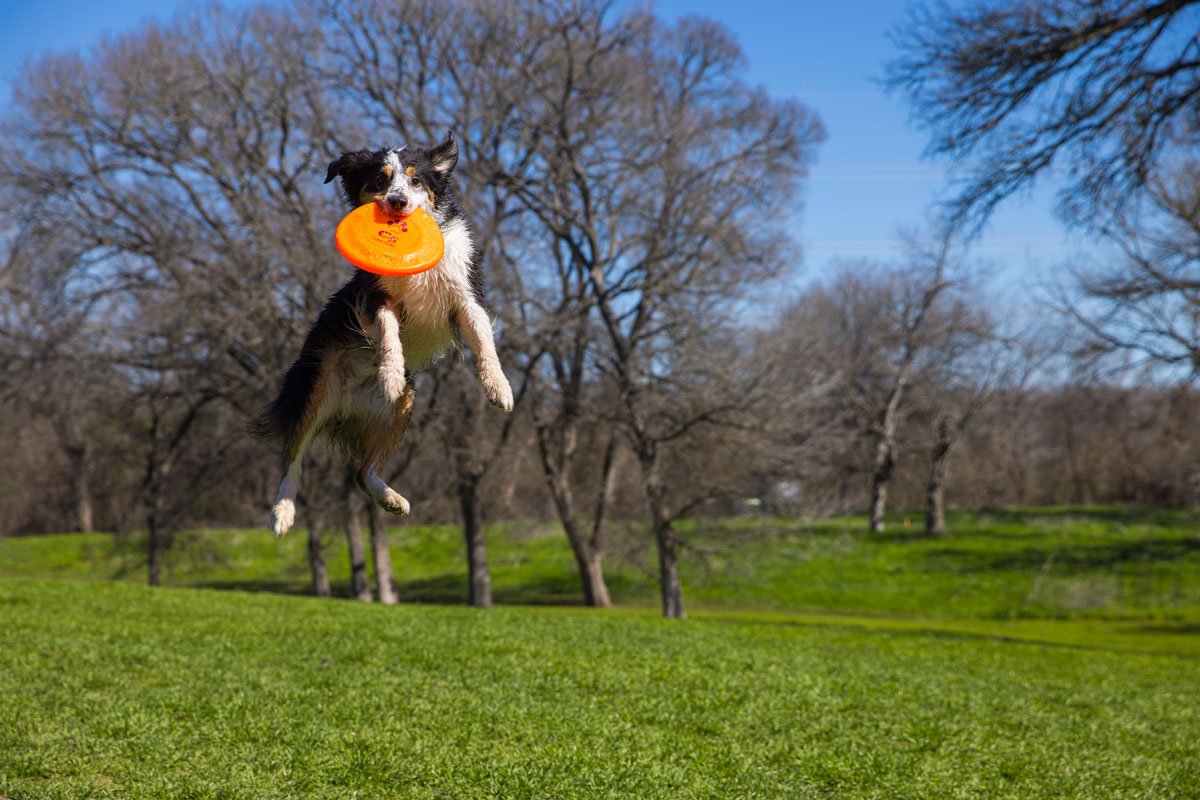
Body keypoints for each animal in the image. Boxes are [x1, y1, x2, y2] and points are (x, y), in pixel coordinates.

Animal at [253, 131, 511, 537]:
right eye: (379, 179)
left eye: (416, 181)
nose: (397, 201)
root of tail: (346, 410)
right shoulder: (374, 297)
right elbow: (389, 331)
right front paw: (388, 373)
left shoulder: (466, 295)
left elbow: (484, 341)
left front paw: (499, 387)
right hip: (315, 388)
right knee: (293, 459)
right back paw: (282, 512)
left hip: (403, 408)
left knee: (363, 472)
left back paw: (392, 500)